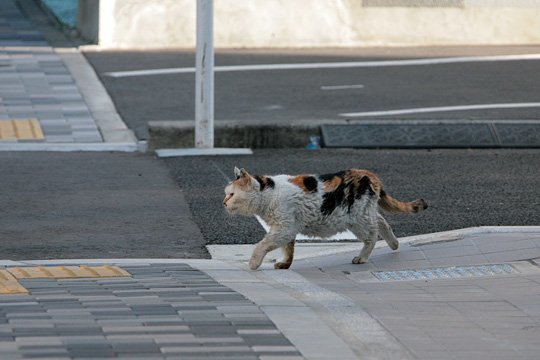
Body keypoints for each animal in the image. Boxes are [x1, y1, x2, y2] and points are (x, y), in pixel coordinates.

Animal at [223, 167, 426, 270]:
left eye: (231, 194)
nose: (223, 203)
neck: (269, 194)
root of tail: (371, 175)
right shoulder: (288, 227)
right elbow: (288, 249)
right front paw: (285, 264)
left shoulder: (283, 228)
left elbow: (263, 245)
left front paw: (253, 263)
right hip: (365, 213)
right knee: (382, 221)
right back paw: (394, 244)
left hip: (358, 218)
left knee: (372, 235)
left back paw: (362, 257)